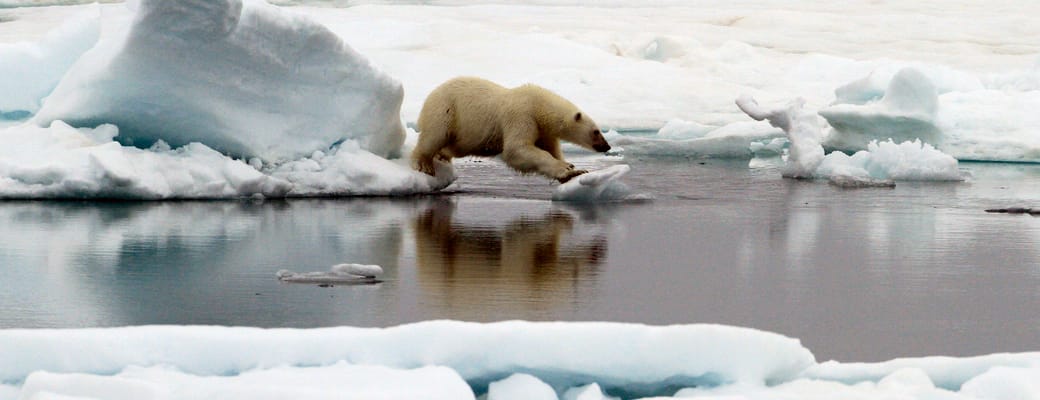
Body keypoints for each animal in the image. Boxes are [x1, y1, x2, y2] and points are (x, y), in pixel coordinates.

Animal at [411, 77, 610, 183]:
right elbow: (517, 149)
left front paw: (575, 171)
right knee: (434, 136)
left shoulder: (543, 130)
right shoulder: (521, 116)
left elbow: (551, 149)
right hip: (447, 110)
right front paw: (566, 167)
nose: (606, 146)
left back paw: (442, 156)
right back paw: (425, 164)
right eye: (596, 131)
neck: (539, 106)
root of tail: (431, 94)